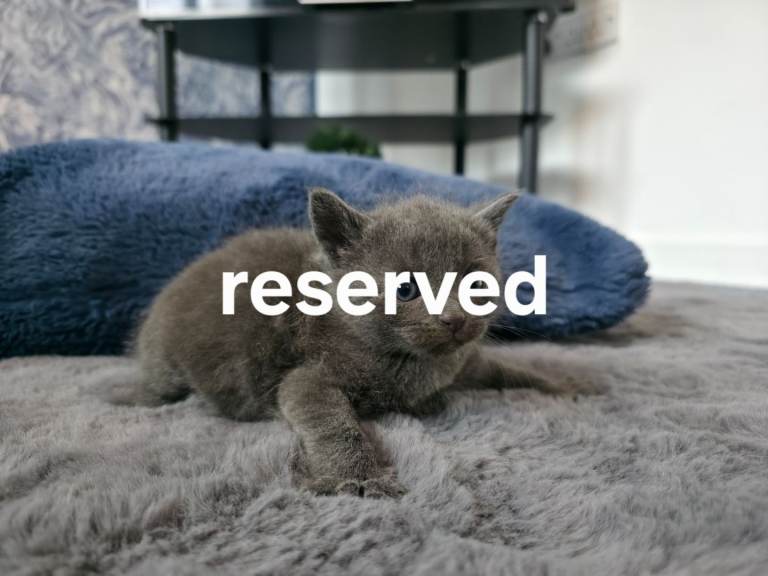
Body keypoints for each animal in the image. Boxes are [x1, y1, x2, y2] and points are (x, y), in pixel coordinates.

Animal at [128, 189, 596, 498]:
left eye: (476, 284)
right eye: (405, 289)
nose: (454, 319)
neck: (418, 365)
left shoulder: (465, 362)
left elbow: (508, 369)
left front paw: (568, 386)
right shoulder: (307, 380)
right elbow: (335, 423)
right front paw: (359, 477)